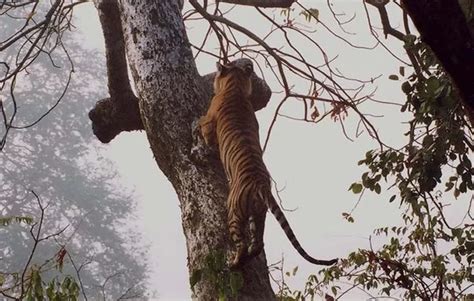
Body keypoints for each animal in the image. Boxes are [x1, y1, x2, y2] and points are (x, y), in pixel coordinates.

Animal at [199, 61, 336, 268]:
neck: (235, 86)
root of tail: (261, 184)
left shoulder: (209, 123)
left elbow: (203, 126)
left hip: (234, 212)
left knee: (241, 242)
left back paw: (234, 262)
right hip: (259, 213)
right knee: (258, 244)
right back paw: (249, 253)